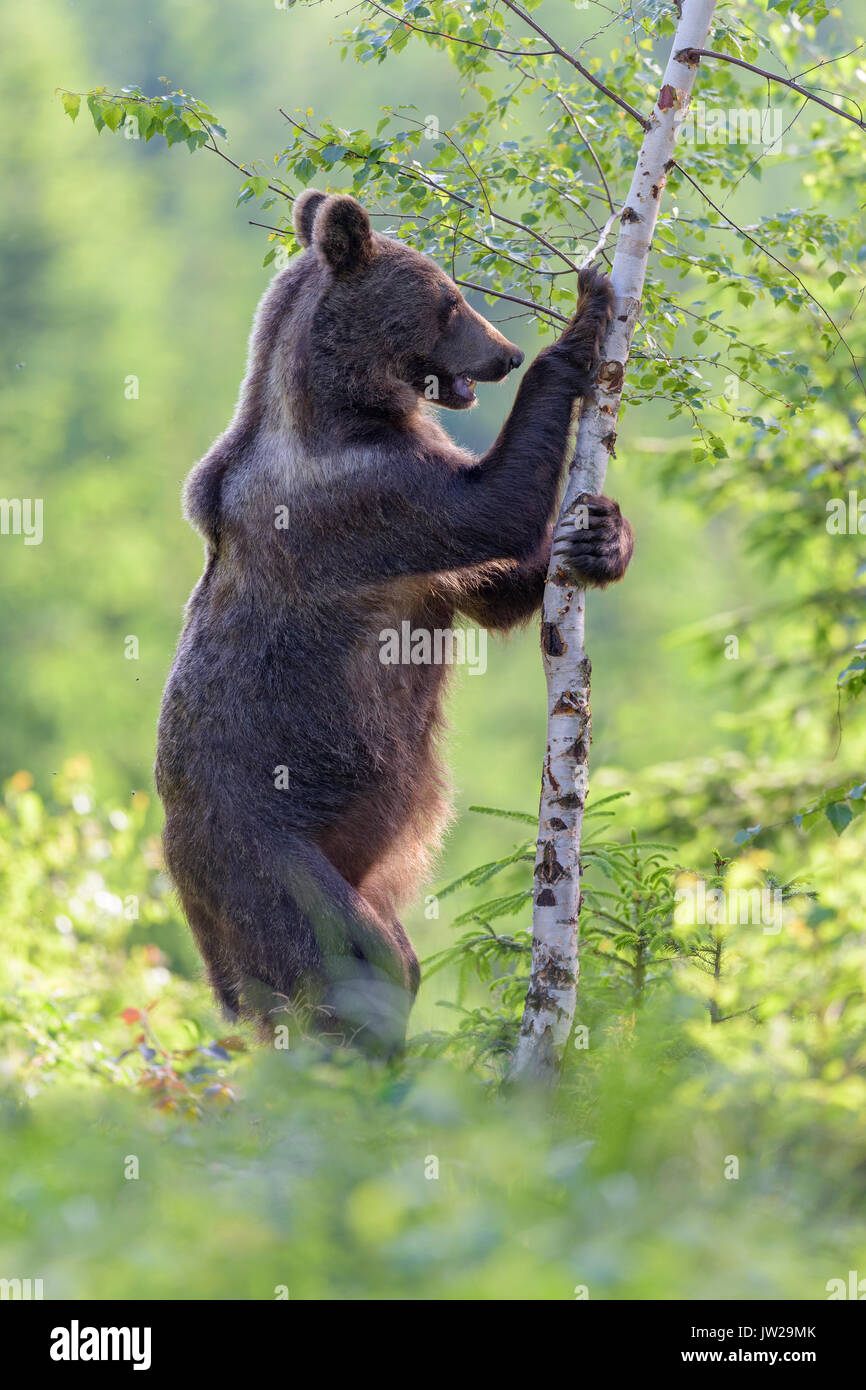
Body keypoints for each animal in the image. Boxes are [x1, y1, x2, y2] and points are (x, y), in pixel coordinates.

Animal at [155, 190, 633, 1045]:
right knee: (349, 968)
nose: (505, 354)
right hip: (266, 854)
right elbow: (492, 505)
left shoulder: (414, 554)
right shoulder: (359, 502)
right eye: (449, 301)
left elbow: (493, 586)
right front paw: (581, 323)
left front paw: (600, 535)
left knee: (392, 960)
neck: (341, 408)